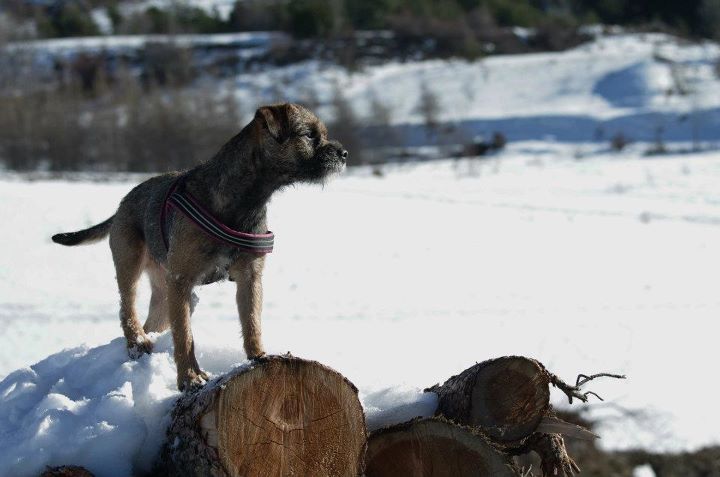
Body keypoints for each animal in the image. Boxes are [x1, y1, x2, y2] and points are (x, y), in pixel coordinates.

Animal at [52, 103, 347, 390]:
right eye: (310, 135)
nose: (344, 153)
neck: (246, 198)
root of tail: (122, 204)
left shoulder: (249, 277)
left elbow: (251, 320)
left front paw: (259, 356)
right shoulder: (181, 281)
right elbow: (184, 336)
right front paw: (189, 379)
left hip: (165, 293)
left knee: (153, 321)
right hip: (131, 265)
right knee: (127, 309)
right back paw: (137, 342)